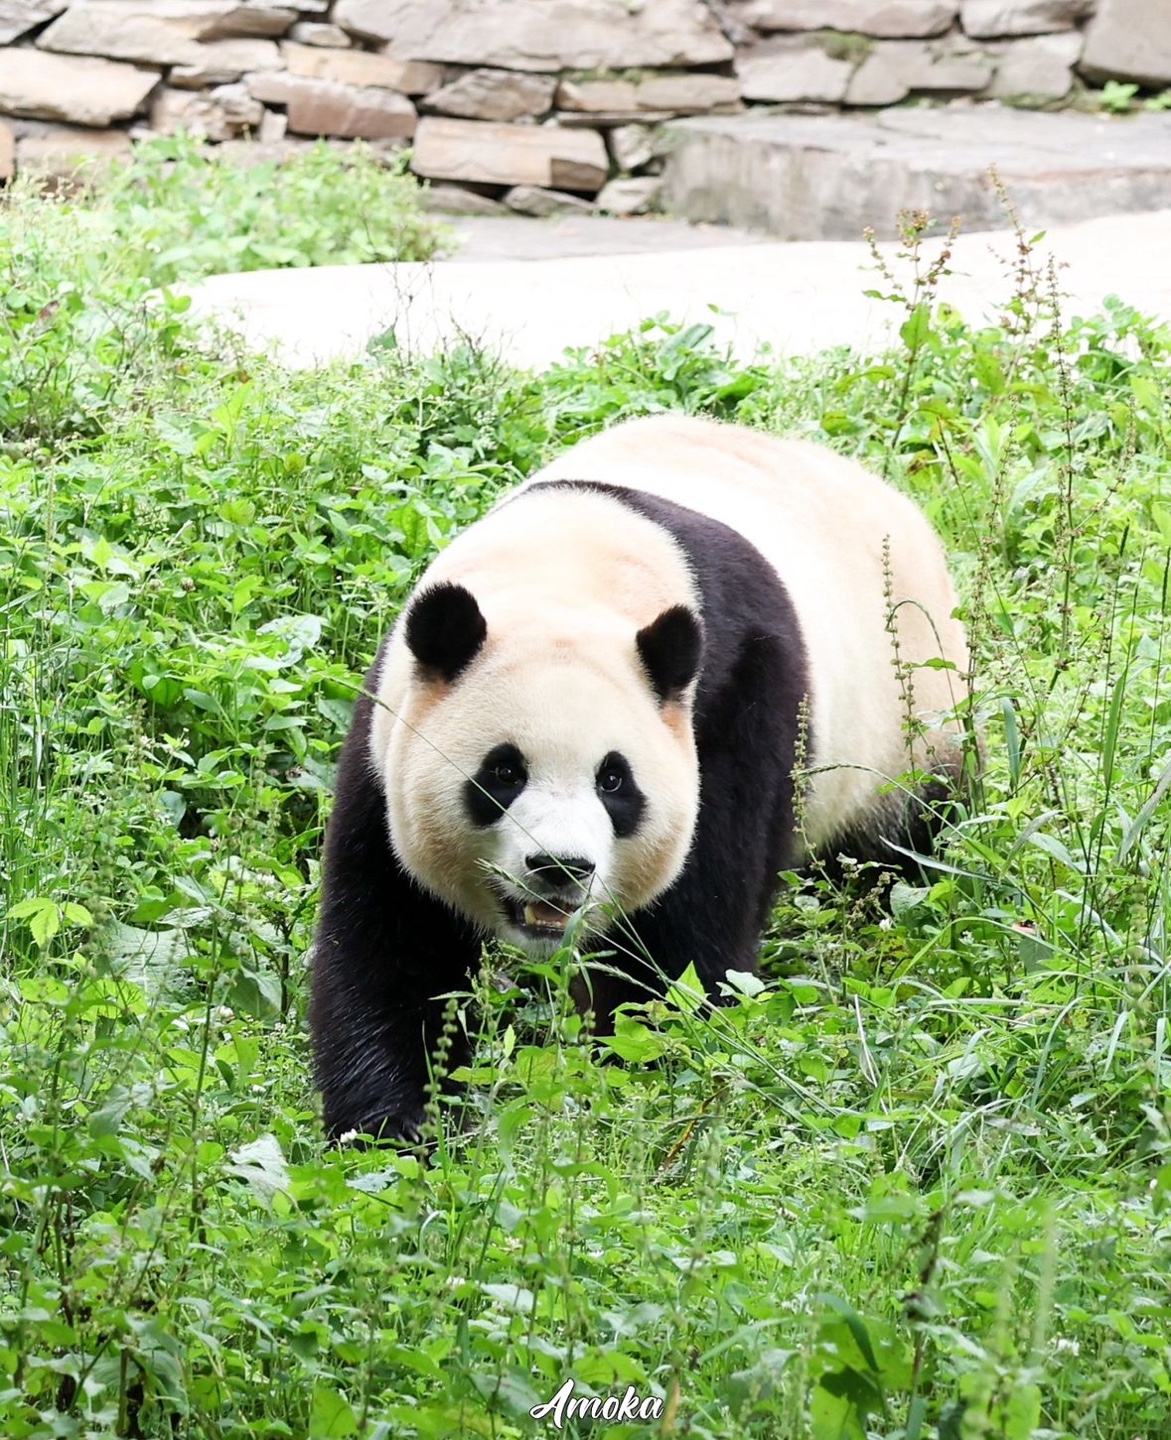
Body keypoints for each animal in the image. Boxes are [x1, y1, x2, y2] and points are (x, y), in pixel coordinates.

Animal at [308, 411, 967, 1140]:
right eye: (502, 773)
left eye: (614, 783)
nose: (559, 868)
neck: (565, 566)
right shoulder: (388, 730)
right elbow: (393, 935)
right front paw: (393, 1128)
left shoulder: (736, 696)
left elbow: (683, 933)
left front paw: (637, 1077)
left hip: (909, 723)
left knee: (905, 846)